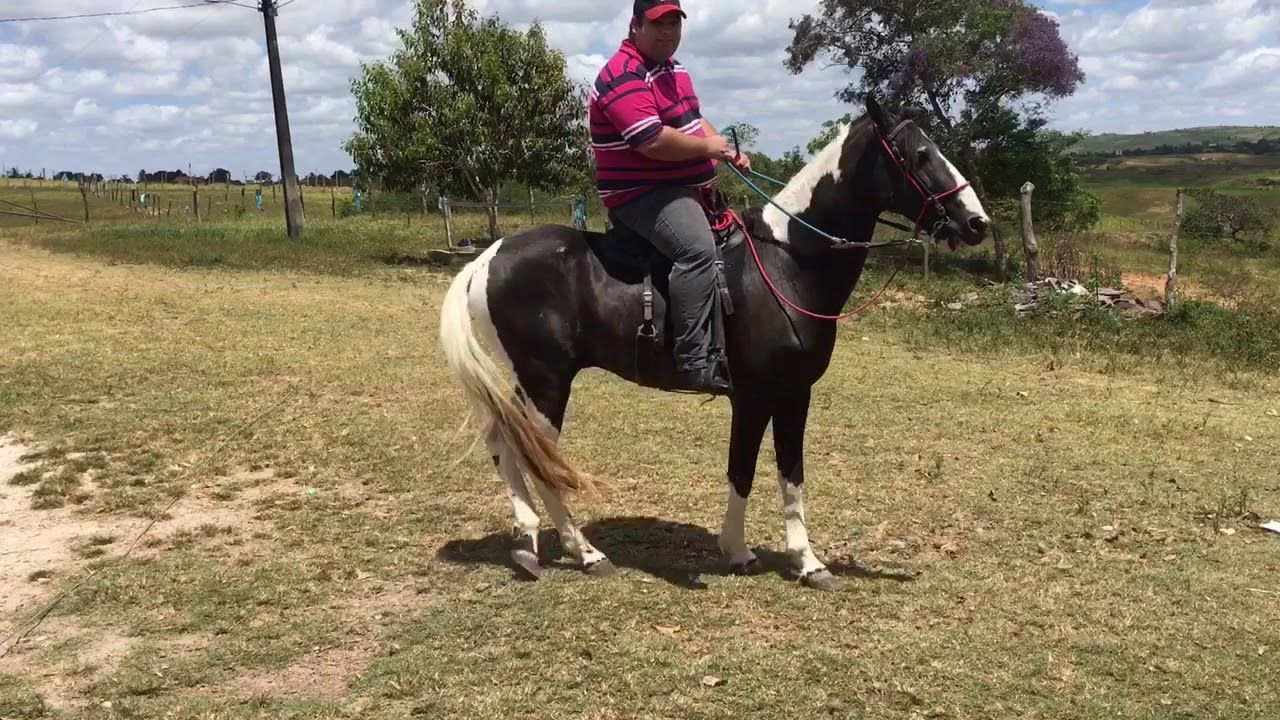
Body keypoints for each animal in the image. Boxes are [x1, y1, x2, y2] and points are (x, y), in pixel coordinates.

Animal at [440, 96, 988, 589]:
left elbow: (790, 473)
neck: (788, 263)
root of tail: (488, 258)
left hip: (527, 384)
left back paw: (529, 542)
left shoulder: (795, 394)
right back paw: (586, 552)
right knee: (537, 458)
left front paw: (798, 560)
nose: (977, 223)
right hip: (547, 383)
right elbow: (742, 470)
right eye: (920, 155)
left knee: (504, 444)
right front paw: (751, 553)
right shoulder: (754, 397)